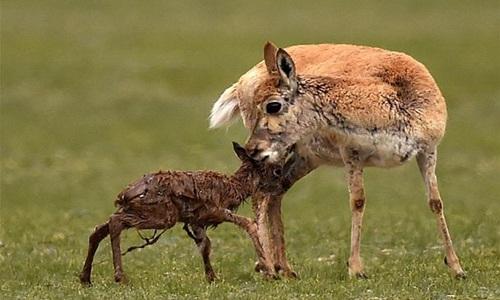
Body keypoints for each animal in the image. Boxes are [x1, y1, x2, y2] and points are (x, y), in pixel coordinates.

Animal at [78, 142, 290, 284]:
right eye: (277, 171)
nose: (285, 185)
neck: (232, 187)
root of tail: (124, 195)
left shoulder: (196, 220)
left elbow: (205, 245)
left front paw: (212, 277)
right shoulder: (214, 210)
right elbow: (248, 223)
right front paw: (270, 273)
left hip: (142, 211)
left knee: (98, 230)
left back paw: (85, 278)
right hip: (161, 215)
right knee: (115, 222)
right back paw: (119, 277)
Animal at [208, 41, 464, 278]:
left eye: (273, 105)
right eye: (259, 103)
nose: (251, 148)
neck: (396, 94)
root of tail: (244, 79)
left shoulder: (428, 151)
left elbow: (435, 202)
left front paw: (457, 268)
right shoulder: (351, 153)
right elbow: (358, 201)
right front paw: (356, 269)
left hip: (305, 158)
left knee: (274, 194)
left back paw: (284, 268)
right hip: (283, 154)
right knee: (262, 195)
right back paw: (269, 267)